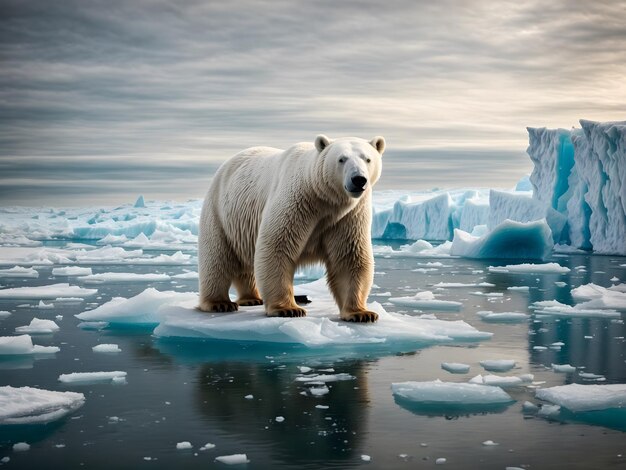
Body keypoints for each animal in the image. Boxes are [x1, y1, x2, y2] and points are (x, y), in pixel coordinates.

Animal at [200, 134, 382, 322]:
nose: (359, 179)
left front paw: (361, 313)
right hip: (220, 213)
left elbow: (349, 257)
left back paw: (252, 298)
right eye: (341, 159)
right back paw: (219, 303)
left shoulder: (348, 216)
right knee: (217, 258)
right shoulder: (296, 203)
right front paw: (288, 309)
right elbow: (276, 247)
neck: (321, 197)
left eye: (367, 159)